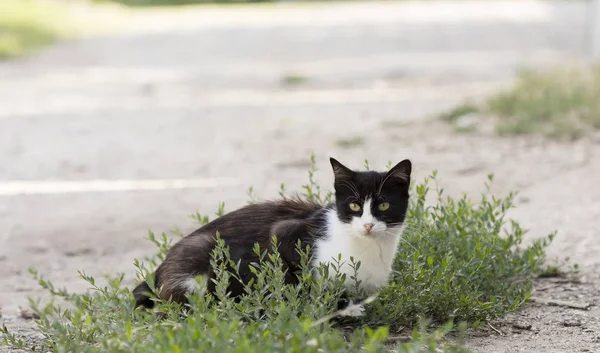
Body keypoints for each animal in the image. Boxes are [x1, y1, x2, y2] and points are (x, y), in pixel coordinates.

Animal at [133, 157, 410, 308]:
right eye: (354, 206)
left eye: (383, 205)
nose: (368, 225)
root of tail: (158, 271)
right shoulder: (285, 233)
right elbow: (297, 274)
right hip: (204, 253)